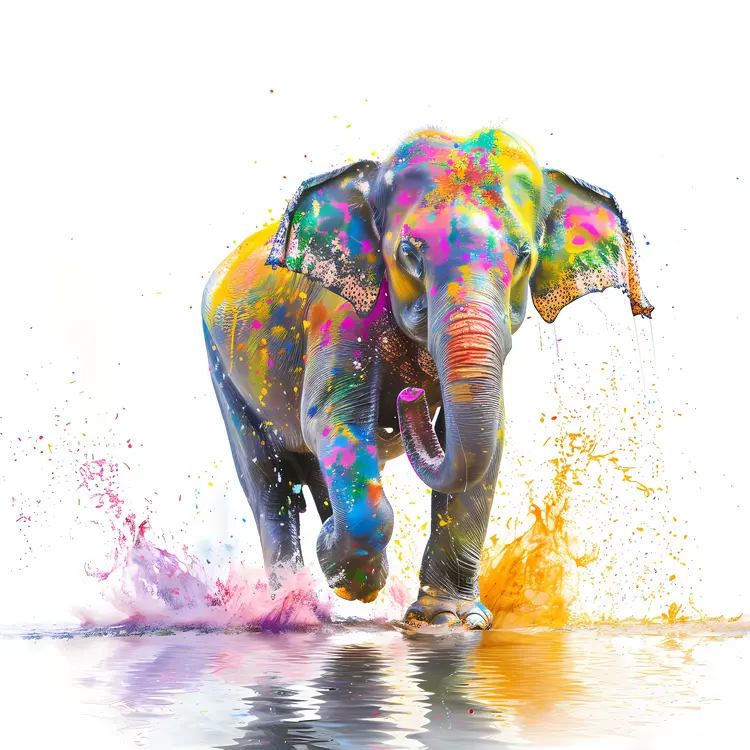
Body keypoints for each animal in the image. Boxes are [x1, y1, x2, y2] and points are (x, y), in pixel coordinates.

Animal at [202, 128, 653, 629]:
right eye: (408, 254)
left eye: (523, 257)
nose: (412, 396)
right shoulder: (336, 311)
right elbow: (332, 419)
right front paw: (358, 579)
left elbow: (489, 437)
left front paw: (449, 620)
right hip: (222, 371)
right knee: (268, 485)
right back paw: (297, 612)